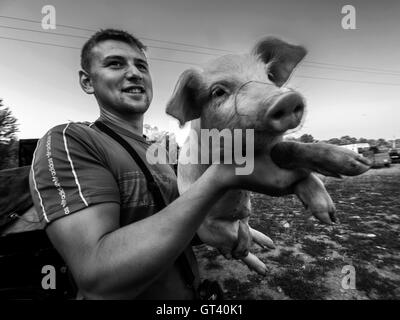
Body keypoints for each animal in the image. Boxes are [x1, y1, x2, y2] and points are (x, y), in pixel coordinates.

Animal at [164, 36, 370, 274]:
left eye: (269, 76)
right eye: (218, 92)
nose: (287, 99)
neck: (255, 146)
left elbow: (288, 150)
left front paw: (333, 208)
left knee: (246, 226)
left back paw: (269, 245)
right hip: (207, 229)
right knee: (236, 243)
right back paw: (261, 266)